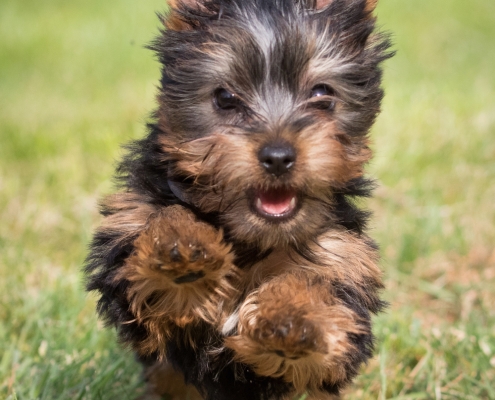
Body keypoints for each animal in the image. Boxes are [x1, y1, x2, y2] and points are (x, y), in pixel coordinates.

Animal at [86, 1, 396, 398]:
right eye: (225, 98)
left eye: (321, 94)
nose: (278, 156)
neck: (251, 236)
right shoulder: (130, 233)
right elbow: (159, 269)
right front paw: (181, 245)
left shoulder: (344, 258)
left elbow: (318, 299)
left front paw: (292, 317)